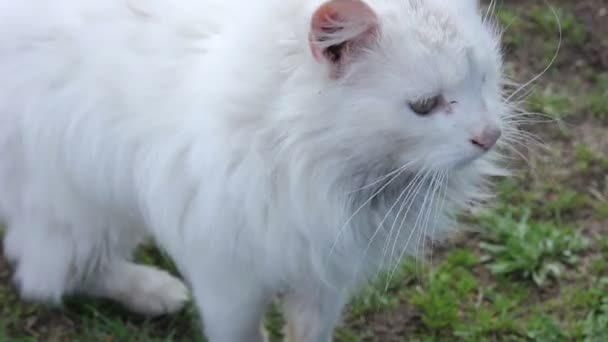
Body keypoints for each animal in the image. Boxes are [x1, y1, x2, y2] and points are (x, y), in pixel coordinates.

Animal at [0, 0, 512, 340]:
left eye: (484, 78)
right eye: (425, 105)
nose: (490, 135)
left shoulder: (325, 271)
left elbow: (310, 332)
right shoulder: (228, 280)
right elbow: (243, 335)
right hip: (82, 208)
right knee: (50, 272)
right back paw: (155, 291)